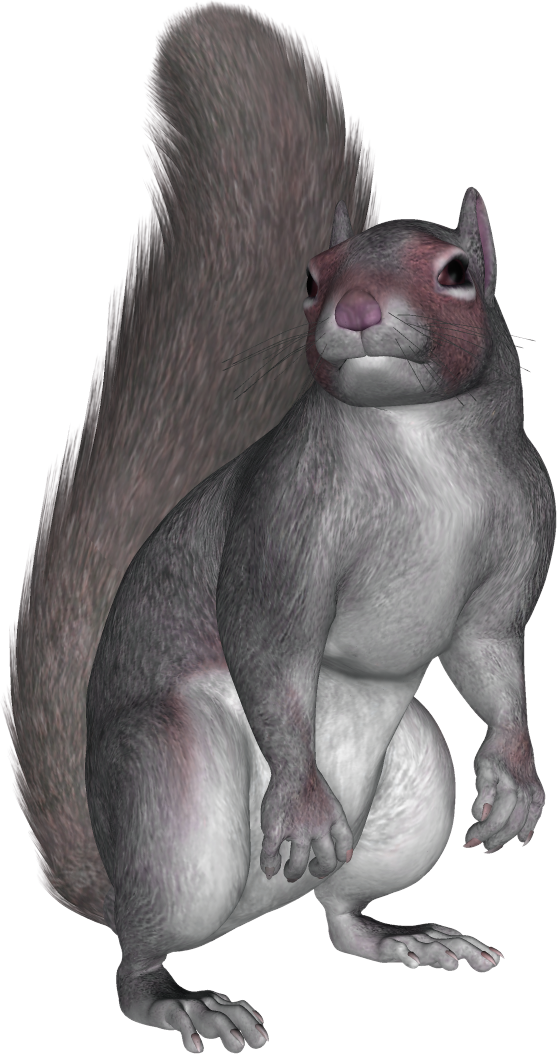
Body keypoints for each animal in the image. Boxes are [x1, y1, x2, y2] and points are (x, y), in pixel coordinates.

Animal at [8, 5, 555, 1053]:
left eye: (458, 272)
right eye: (309, 276)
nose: (356, 309)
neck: (417, 439)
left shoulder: (523, 524)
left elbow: (489, 648)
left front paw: (515, 779)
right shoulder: (281, 520)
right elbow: (269, 640)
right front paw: (301, 806)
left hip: (411, 788)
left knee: (339, 915)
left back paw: (402, 937)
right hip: (171, 797)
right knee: (135, 962)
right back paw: (184, 998)